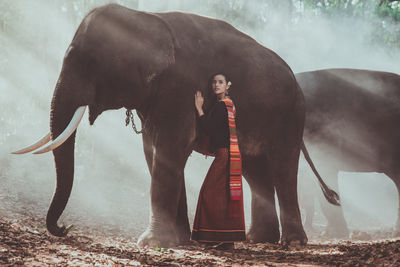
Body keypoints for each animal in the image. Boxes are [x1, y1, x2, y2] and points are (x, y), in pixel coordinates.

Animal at [13, 4, 338, 248]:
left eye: (90, 62)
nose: (65, 227)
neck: (145, 18)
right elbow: (153, 151)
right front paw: (179, 240)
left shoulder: (180, 87)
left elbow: (171, 148)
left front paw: (152, 242)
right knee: (254, 170)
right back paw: (257, 239)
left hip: (290, 116)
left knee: (284, 168)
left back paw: (292, 243)